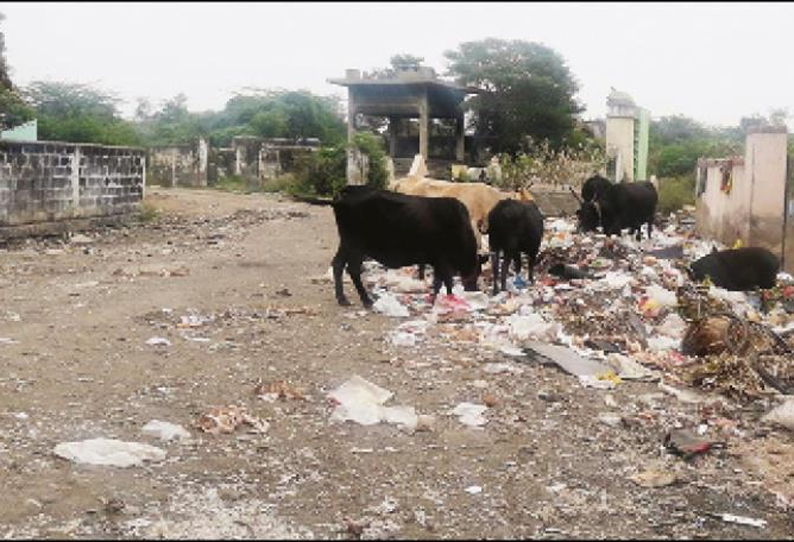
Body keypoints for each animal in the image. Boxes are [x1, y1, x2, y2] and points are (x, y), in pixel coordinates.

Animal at [330, 186, 480, 306]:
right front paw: (444, 299)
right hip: (356, 245)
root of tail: (346, 191)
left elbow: (442, 281)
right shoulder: (442, 259)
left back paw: (342, 299)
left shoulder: (438, 261)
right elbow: (444, 281)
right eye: (476, 271)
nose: (474, 289)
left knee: (338, 264)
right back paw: (366, 300)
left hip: (346, 243)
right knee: (353, 269)